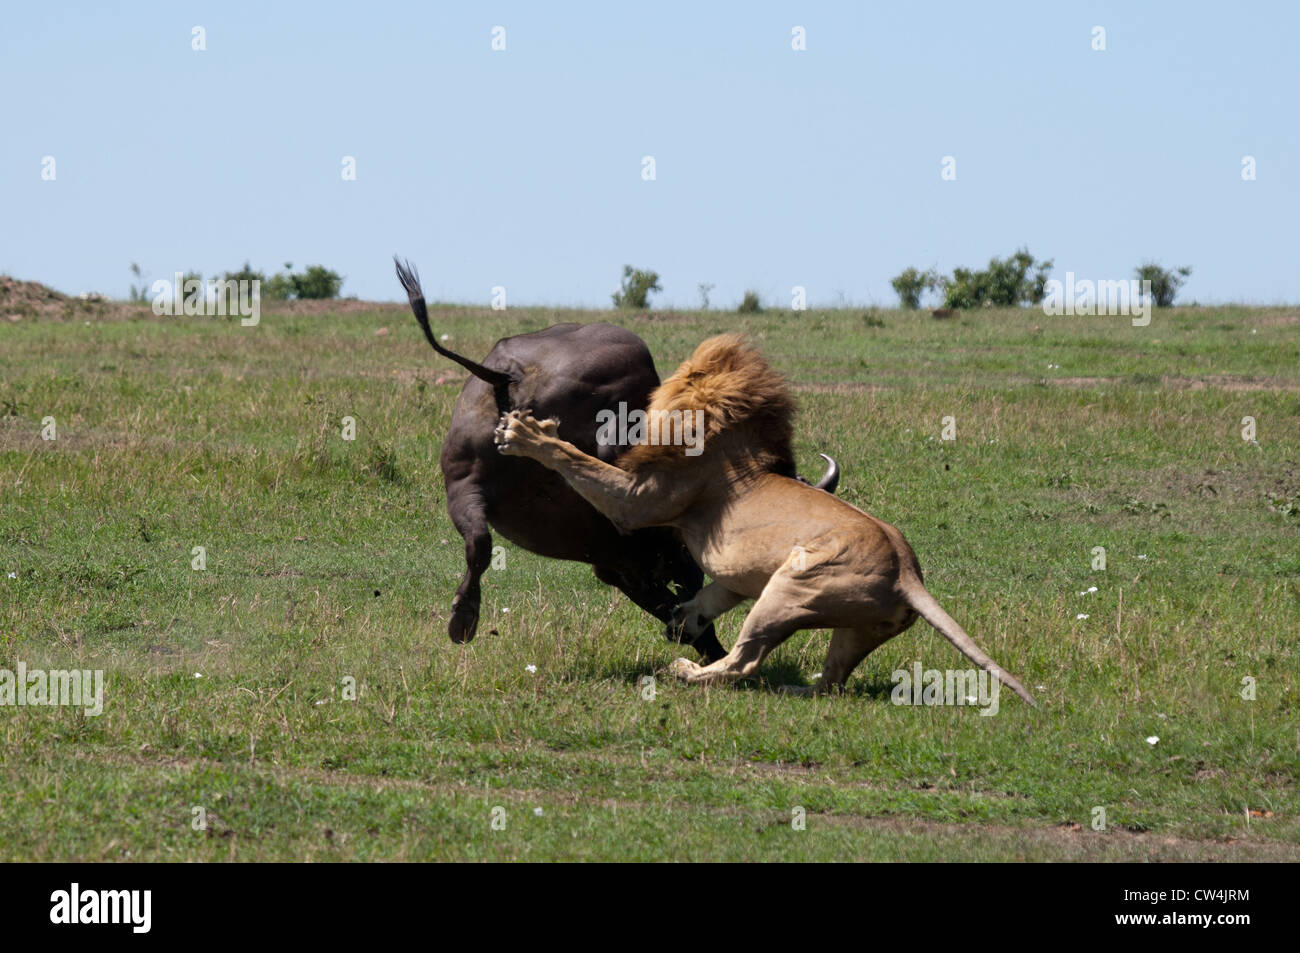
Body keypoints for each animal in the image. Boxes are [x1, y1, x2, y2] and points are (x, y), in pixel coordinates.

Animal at [491, 330, 1040, 702]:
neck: (731, 437)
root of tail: (909, 575)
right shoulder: (739, 572)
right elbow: (711, 595)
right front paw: (682, 617)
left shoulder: (639, 500)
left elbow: (577, 462)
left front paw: (525, 434)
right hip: (853, 629)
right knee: (831, 684)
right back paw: (795, 689)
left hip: (789, 588)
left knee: (745, 663)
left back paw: (687, 673)